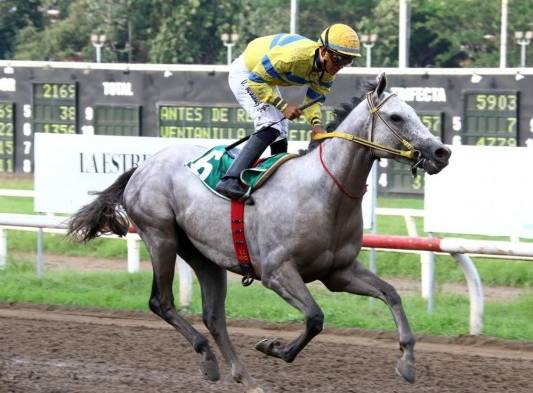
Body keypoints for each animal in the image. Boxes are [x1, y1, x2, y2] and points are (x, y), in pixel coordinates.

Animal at [66, 72, 448, 390]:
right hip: (160, 235)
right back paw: (208, 359)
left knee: (213, 316)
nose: (441, 152)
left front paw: (408, 363)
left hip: (204, 255)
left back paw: (244, 377)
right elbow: (315, 318)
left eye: (416, 113)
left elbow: (391, 294)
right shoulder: (277, 272)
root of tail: (143, 166)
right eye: (397, 117)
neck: (325, 192)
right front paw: (273, 346)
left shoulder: (338, 272)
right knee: (162, 302)